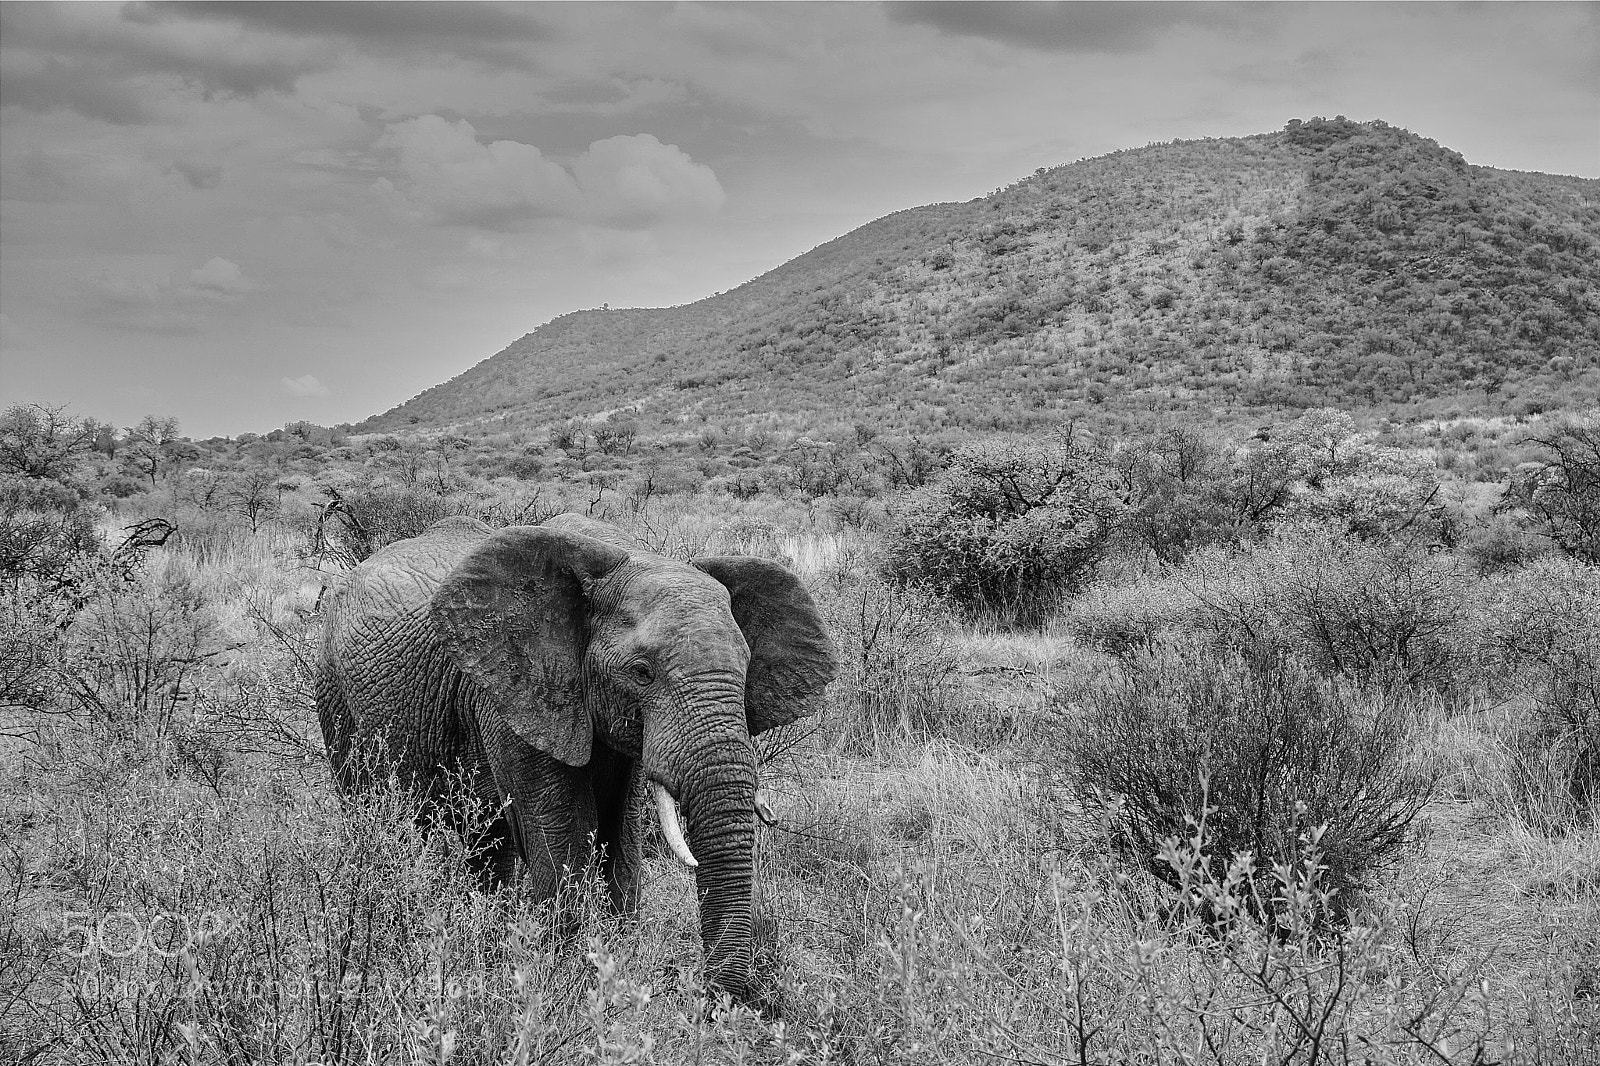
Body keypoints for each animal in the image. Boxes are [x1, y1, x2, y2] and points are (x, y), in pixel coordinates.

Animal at [315, 512, 836, 999]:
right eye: (641, 672)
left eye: (746, 669)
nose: (718, 1001)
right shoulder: (515, 694)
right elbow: (564, 831)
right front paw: (566, 980)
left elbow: (622, 833)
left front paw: (614, 967)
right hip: (334, 694)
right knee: (373, 818)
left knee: (487, 842)